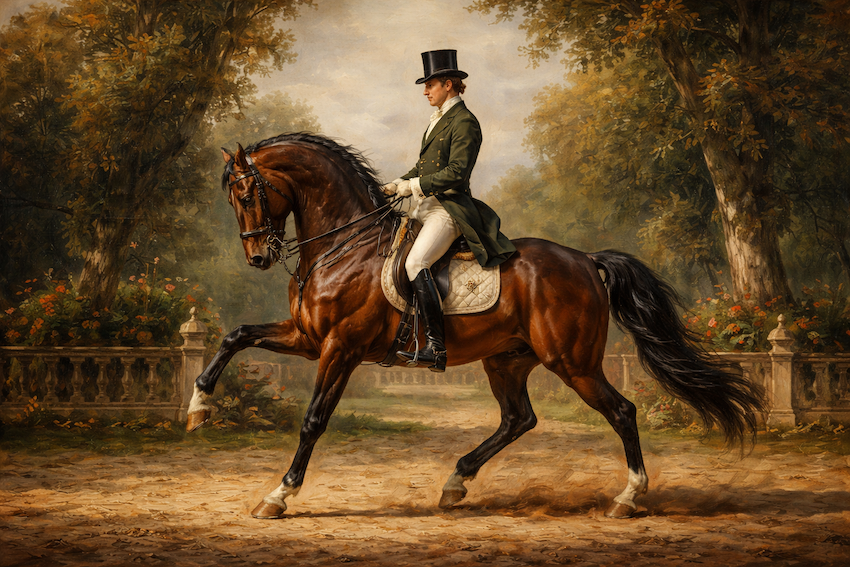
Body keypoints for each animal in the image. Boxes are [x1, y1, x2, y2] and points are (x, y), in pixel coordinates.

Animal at [186, 132, 766, 520]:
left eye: (247, 195)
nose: (259, 257)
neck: (343, 245)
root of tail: (584, 259)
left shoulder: (339, 348)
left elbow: (313, 420)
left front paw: (278, 495)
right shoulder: (308, 338)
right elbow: (236, 335)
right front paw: (198, 407)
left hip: (572, 361)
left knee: (621, 411)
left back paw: (628, 497)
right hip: (507, 359)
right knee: (518, 419)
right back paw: (455, 483)